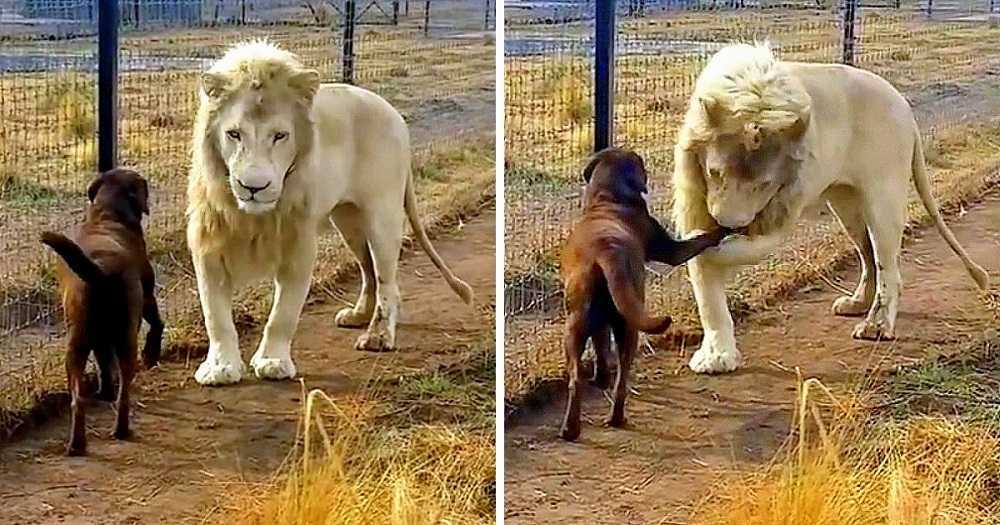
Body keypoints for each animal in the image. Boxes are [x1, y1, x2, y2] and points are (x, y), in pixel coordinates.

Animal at [40, 168, 164, 454]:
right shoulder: (148, 296)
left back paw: (76, 445)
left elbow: (104, 365)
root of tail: (99, 268)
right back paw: (122, 429)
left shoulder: (99, 339)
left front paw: (104, 390)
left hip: (77, 345)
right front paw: (151, 354)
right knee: (124, 391)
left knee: (78, 400)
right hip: (125, 336)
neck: (107, 213)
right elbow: (157, 324)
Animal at [187, 41, 472, 384]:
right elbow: (215, 316)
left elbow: (283, 314)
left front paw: (273, 362)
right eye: (234, 134)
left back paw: (379, 336)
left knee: (387, 279)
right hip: (347, 220)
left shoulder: (298, 244)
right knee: (368, 270)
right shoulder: (208, 243)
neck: (254, 216)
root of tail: (392, 113)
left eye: (280, 135)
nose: (253, 186)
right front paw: (220, 368)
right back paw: (358, 315)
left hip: (382, 216)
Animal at [560, 149, 724, 440]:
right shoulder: (671, 250)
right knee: (622, 377)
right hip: (629, 326)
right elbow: (700, 240)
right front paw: (722, 229)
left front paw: (600, 377)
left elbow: (600, 348)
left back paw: (571, 428)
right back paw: (616, 418)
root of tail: (607, 252)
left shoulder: (598, 324)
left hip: (576, 325)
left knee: (576, 377)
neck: (609, 198)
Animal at [668, 43, 988, 374]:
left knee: (888, 266)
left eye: (765, 183)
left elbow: (742, 249)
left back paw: (876, 325)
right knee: (868, 255)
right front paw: (716, 356)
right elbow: (707, 294)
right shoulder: (695, 200)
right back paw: (857, 304)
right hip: (846, 204)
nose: (729, 224)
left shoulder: (785, 203)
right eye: (715, 172)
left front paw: (715, 248)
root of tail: (903, 105)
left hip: (882, 198)